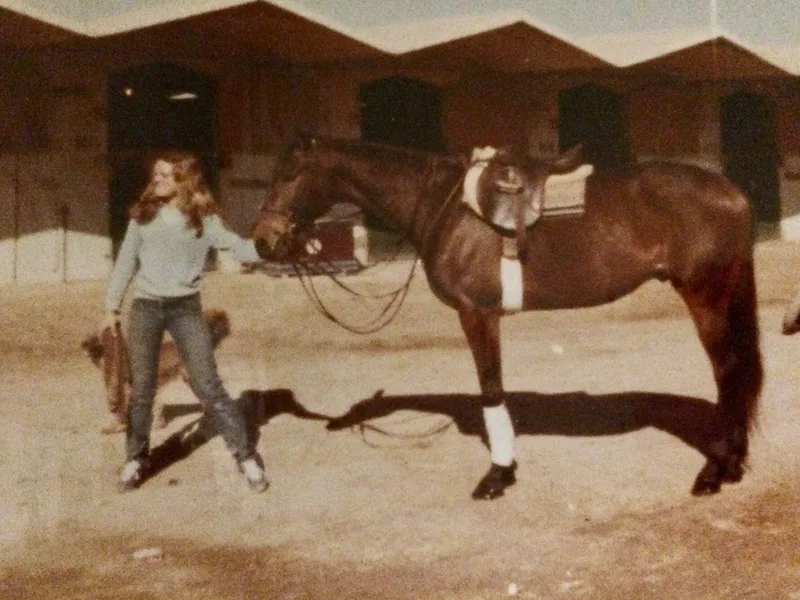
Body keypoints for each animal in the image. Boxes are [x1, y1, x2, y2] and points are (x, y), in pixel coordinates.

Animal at [252, 136, 764, 502]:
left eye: (291, 173)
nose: (263, 240)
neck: (442, 205)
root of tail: (733, 192)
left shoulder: (477, 313)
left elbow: (491, 389)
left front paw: (498, 475)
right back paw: (733, 465)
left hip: (706, 295)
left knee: (728, 373)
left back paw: (715, 471)